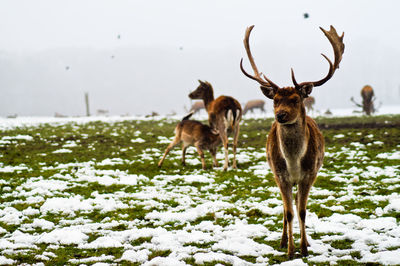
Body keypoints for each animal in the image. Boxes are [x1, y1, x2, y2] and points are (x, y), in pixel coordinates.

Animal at [239, 25, 346, 258]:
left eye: (296, 99)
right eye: (275, 100)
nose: (280, 115)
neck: (294, 162)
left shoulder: (310, 174)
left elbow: (302, 211)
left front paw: (304, 249)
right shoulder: (281, 175)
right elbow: (288, 212)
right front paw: (290, 250)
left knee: (297, 205)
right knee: (286, 206)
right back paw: (283, 240)